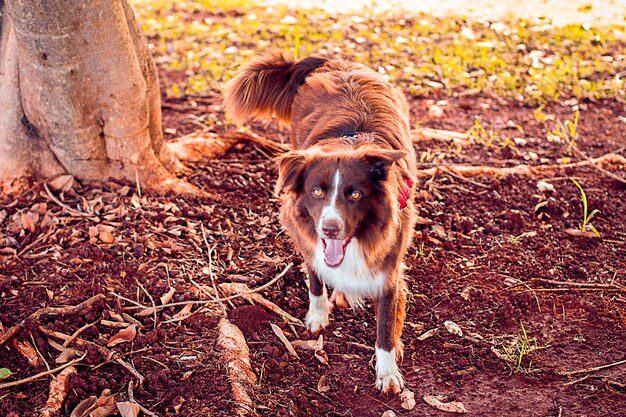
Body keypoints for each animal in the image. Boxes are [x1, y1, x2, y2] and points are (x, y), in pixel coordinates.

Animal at [222, 51, 416, 394]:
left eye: (354, 194)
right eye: (316, 191)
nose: (330, 228)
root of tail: (335, 61)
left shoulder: (389, 270)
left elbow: (385, 328)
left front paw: (387, 371)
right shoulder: (308, 240)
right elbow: (314, 277)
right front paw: (318, 314)